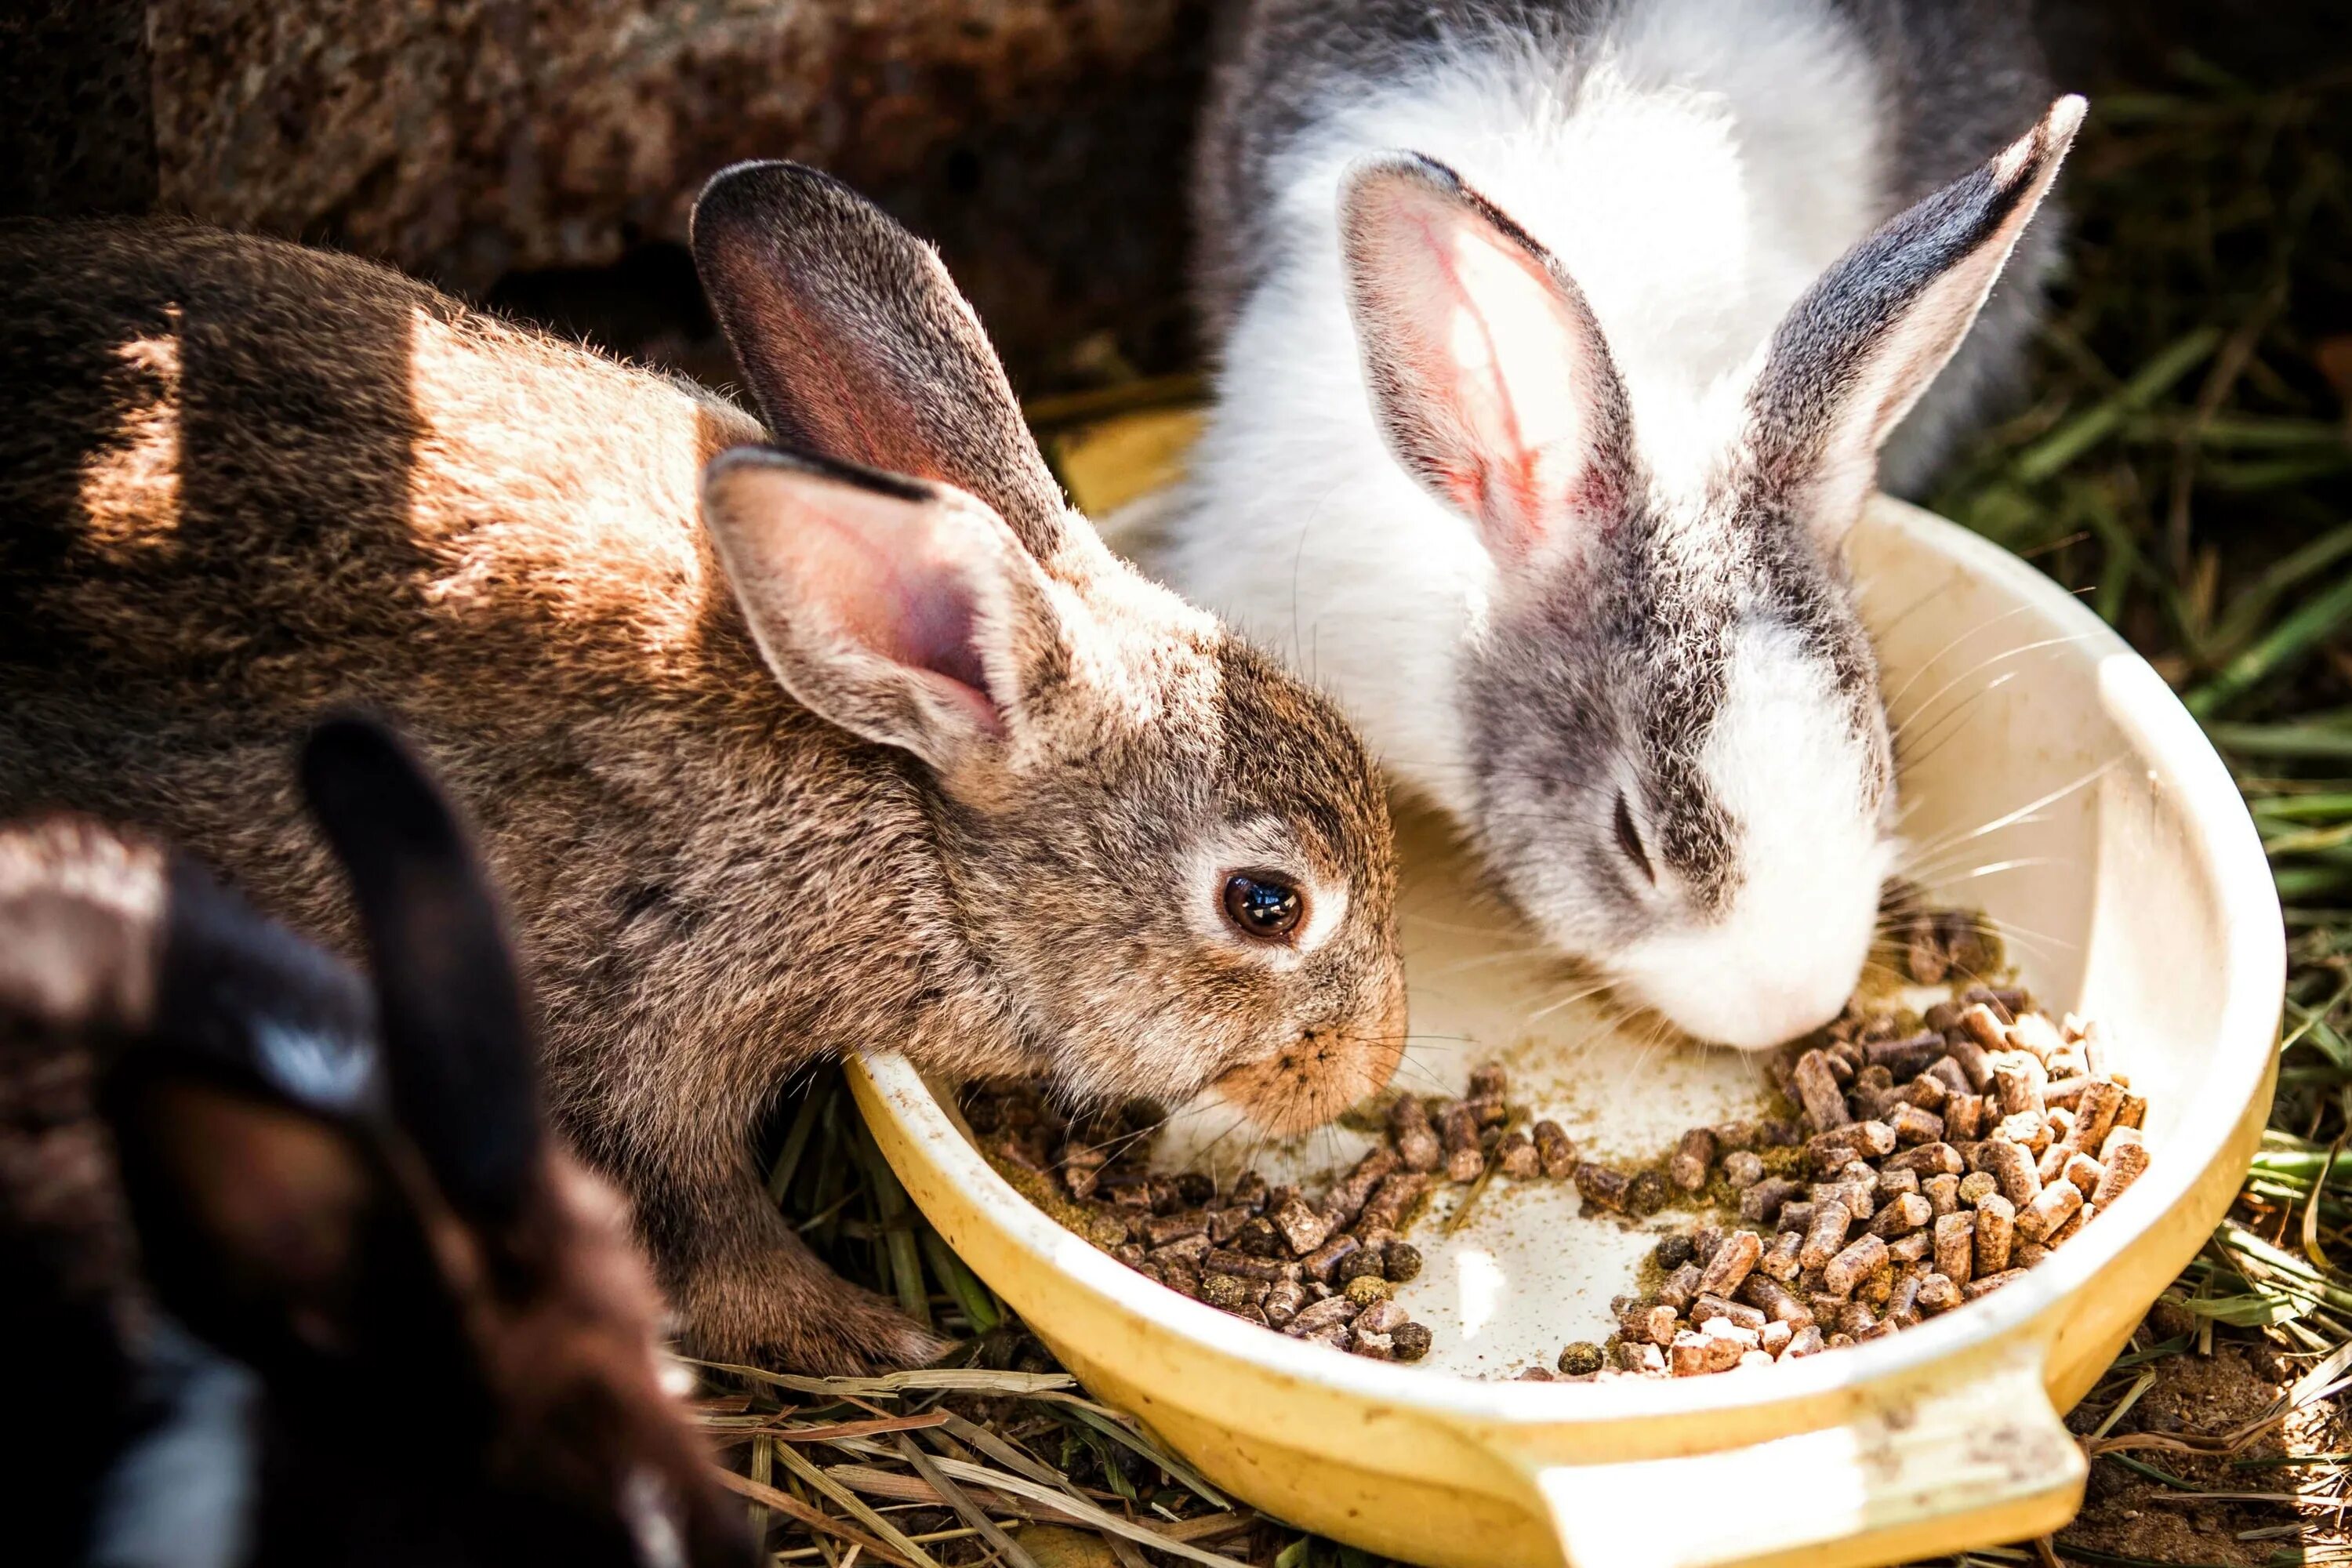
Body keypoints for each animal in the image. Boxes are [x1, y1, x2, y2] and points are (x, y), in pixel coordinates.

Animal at [0, 162, 1392, 1373]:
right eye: (1264, 904)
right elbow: (696, 1233)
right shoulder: (632, 1038)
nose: (1373, 1062)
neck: (912, 814)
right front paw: (860, 1331)